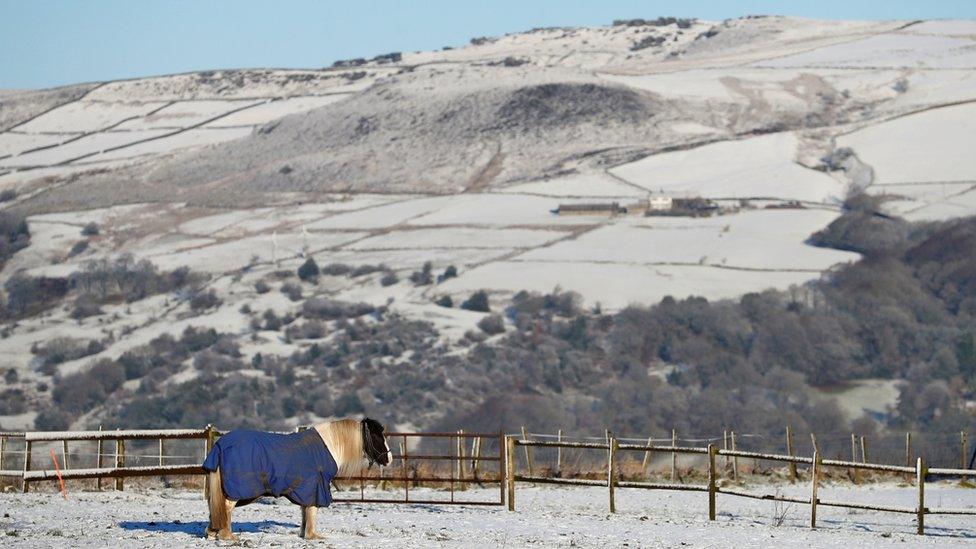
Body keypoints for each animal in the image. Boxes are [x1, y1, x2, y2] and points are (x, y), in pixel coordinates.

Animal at [203, 416, 392, 540]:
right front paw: (313, 536)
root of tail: (220, 446)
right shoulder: (316, 487)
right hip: (236, 490)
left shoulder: (306, 490)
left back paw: (214, 533)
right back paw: (227, 535)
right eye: (377, 436)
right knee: (226, 507)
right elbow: (312, 510)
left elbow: (304, 511)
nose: (389, 459)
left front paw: (304, 534)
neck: (329, 446)